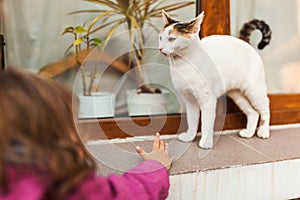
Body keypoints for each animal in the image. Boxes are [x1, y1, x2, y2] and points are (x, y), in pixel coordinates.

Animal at [161, 10, 270, 148]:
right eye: (160, 38)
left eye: (171, 39)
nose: (160, 48)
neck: (183, 65)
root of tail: (245, 42)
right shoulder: (190, 101)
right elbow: (192, 120)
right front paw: (189, 137)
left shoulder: (208, 100)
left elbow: (206, 122)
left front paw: (205, 143)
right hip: (237, 95)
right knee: (253, 113)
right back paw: (249, 133)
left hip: (254, 91)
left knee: (265, 107)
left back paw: (264, 131)